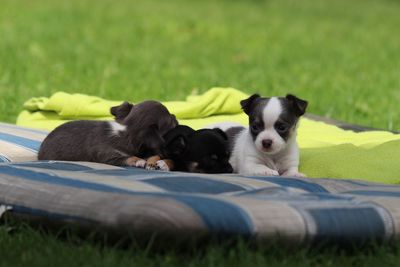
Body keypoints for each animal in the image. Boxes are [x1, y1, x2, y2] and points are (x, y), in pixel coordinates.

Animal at [38, 101, 178, 168]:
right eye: (170, 121)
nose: (175, 116)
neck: (126, 130)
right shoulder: (108, 155)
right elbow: (129, 157)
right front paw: (139, 160)